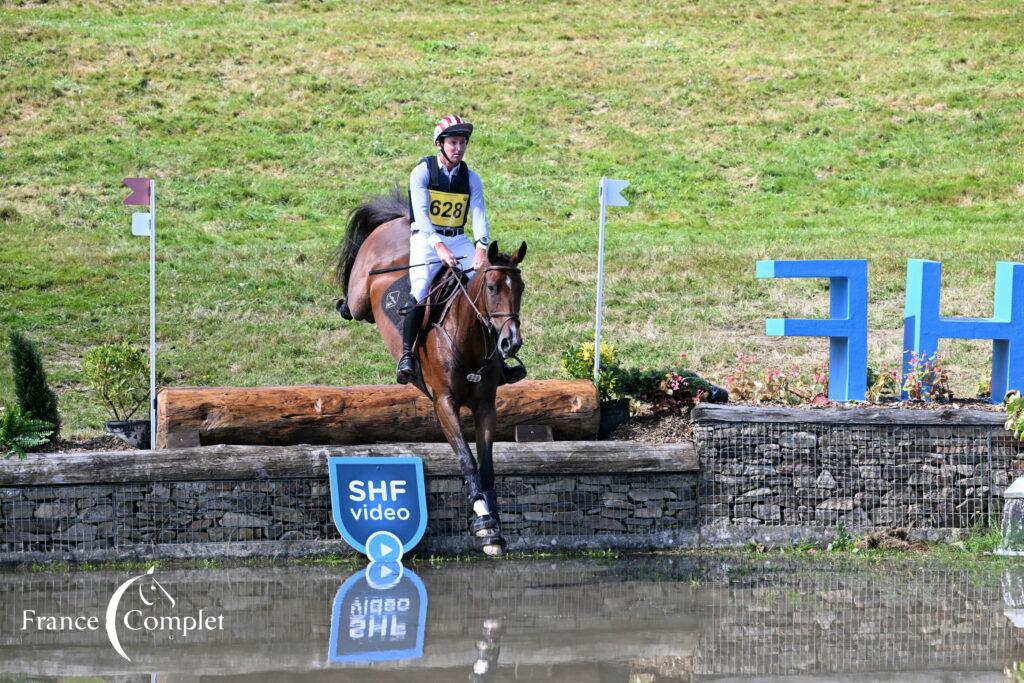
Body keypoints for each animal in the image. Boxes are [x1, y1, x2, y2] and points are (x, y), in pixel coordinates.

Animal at [333, 191, 528, 557]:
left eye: (520, 288)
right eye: (492, 287)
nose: (510, 342)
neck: (467, 339)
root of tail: (398, 220)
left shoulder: (486, 407)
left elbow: (486, 465)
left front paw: (494, 525)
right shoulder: (444, 403)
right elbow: (467, 459)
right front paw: (483, 523)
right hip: (361, 296)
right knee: (352, 306)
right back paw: (345, 306)